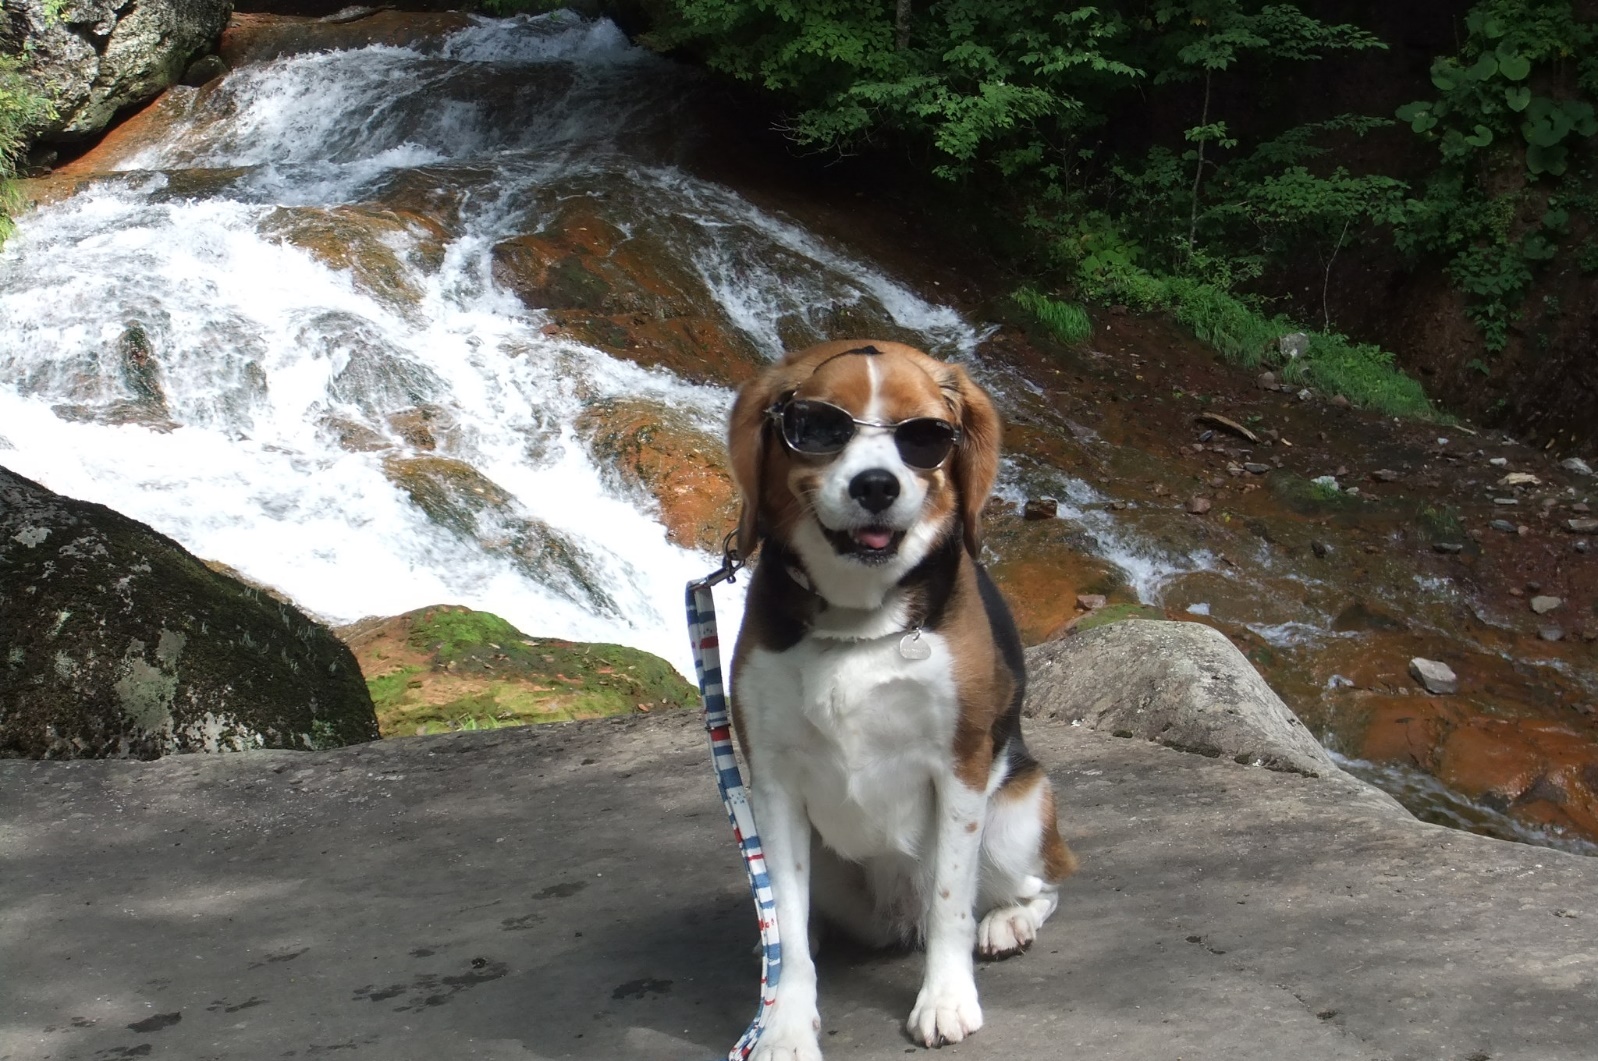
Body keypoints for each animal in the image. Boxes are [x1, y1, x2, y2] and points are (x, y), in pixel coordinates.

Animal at [731, 337, 1080, 1054]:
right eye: (817, 426)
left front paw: (945, 998)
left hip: (1016, 816)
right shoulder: (772, 784)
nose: (875, 486)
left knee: (1039, 885)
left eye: (925, 435)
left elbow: (950, 903)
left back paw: (1008, 922)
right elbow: (786, 915)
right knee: (795, 916)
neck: (859, 621)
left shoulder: (960, 769)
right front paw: (783, 1021)